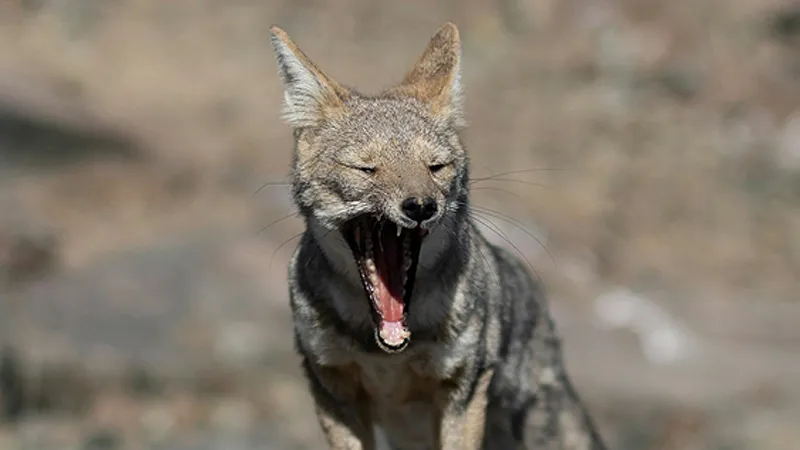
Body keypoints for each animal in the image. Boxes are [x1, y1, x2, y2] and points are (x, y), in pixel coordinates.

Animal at [268, 22, 608, 450]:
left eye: (435, 167)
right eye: (366, 168)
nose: (421, 206)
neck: (388, 349)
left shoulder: (462, 391)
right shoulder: (331, 388)